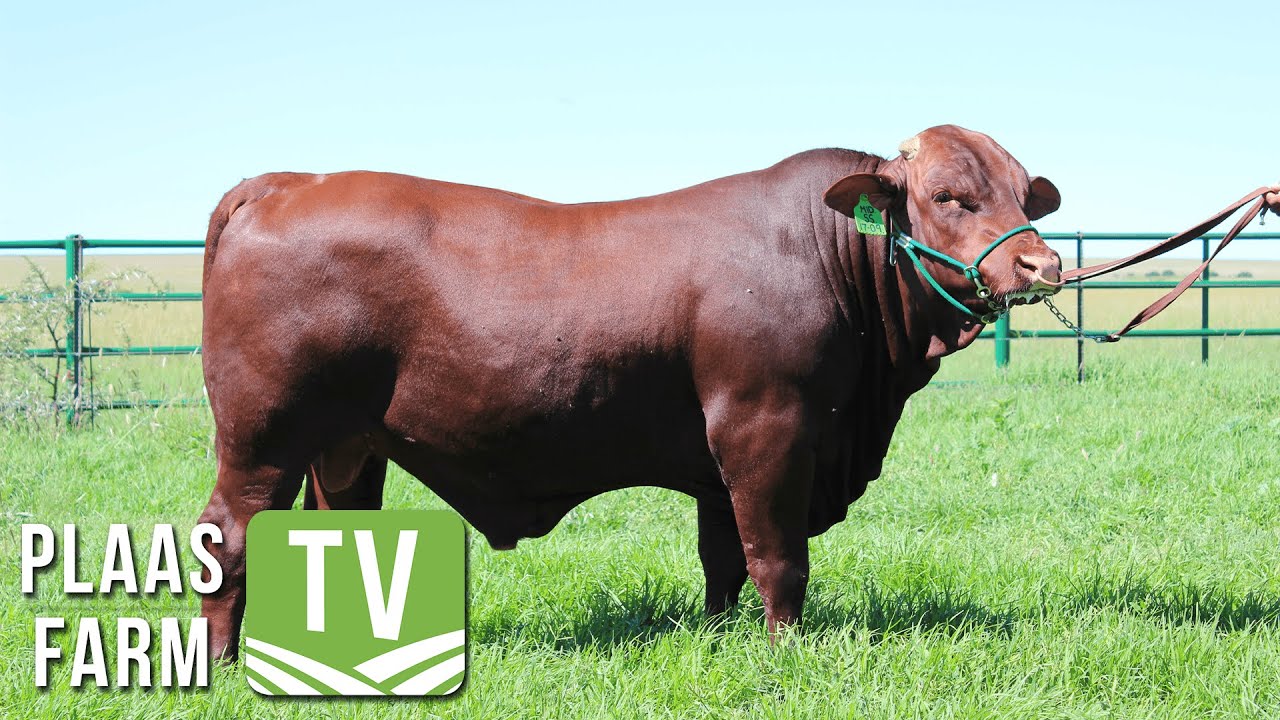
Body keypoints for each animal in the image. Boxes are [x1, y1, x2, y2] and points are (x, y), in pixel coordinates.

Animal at [197, 124, 1064, 659]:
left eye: (1025, 193)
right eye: (949, 195)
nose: (1042, 264)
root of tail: (283, 183)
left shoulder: (721, 459)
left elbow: (723, 559)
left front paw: (719, 638)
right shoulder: (767, 430)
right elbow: (778, 559)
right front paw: (787, 649)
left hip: (343, 446)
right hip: (262, 439)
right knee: (226, 537)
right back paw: (224, 661)